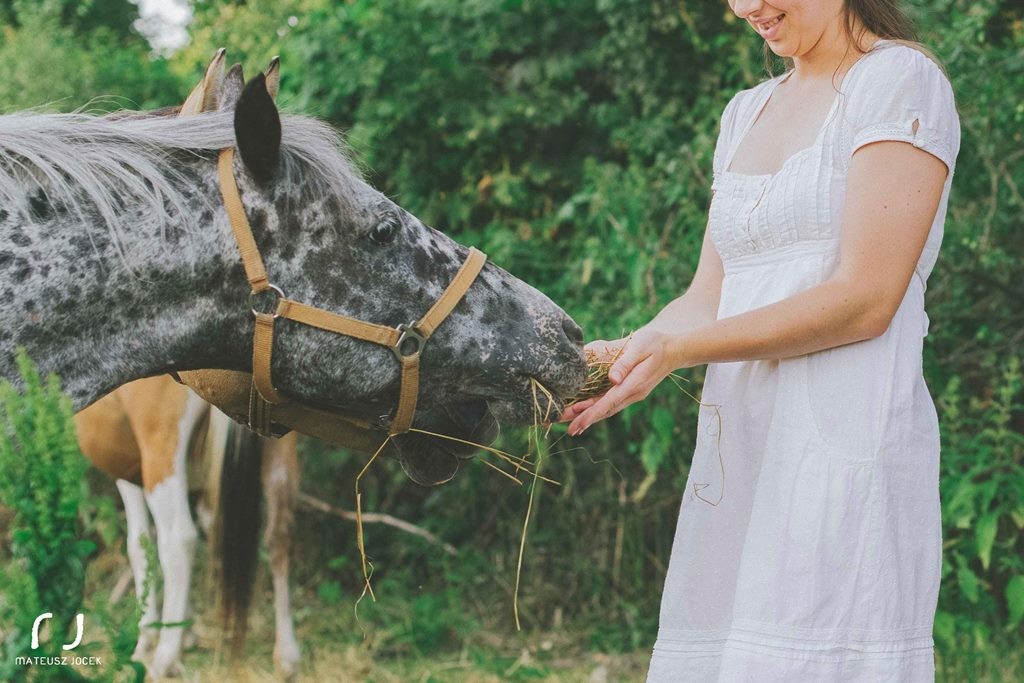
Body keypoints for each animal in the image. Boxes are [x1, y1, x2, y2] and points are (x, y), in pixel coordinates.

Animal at [74, 374, 299, 679]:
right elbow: (208, 525)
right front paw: (188, 630)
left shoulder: (130, 471)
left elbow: (140, 546)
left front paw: (149, 637)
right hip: (279, 451)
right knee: (278, 536)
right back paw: (286, 655)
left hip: (161, 449)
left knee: (178, 540)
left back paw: (164, 658)